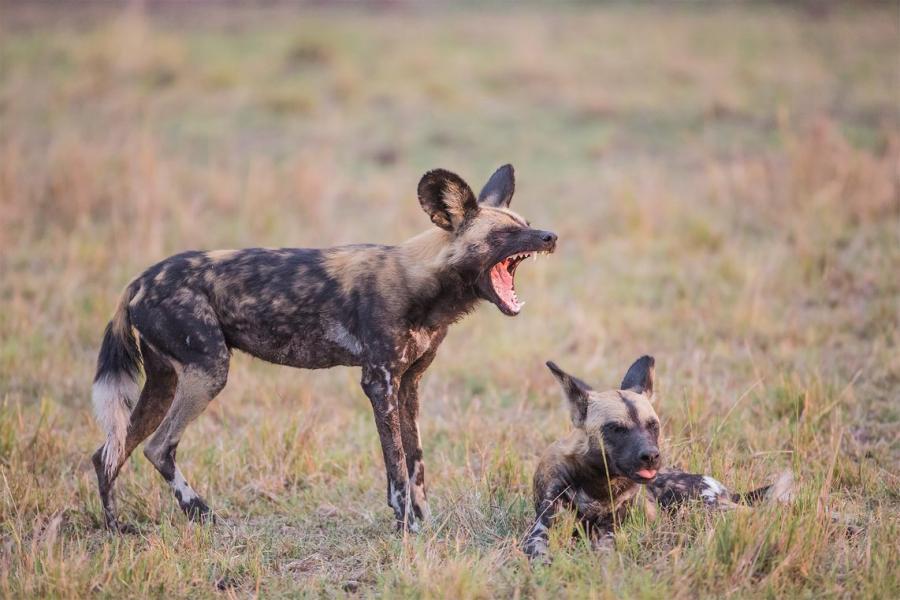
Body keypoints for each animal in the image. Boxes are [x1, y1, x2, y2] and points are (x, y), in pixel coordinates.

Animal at [91, 165, 556, 536]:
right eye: (505, 233)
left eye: (526, 222)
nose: (551, 235)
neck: (424, 281)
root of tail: (138, 281)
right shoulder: (379, 383)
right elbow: (396, 468)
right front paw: (406, 528)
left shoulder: (408, 385)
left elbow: (416, 463)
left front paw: (425, 524)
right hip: (209, 371)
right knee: (157, 447)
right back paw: (203, 514)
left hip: (166, 382)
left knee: (108, 453)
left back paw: (116, 529)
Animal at [524, 354, 792, 560]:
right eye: (616, 429)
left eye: (653, 426)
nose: (651, 456)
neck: (599, 484)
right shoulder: (543, 524)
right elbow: (538, 548)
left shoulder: (612, 527)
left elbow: (605, 549)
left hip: (702, 508)